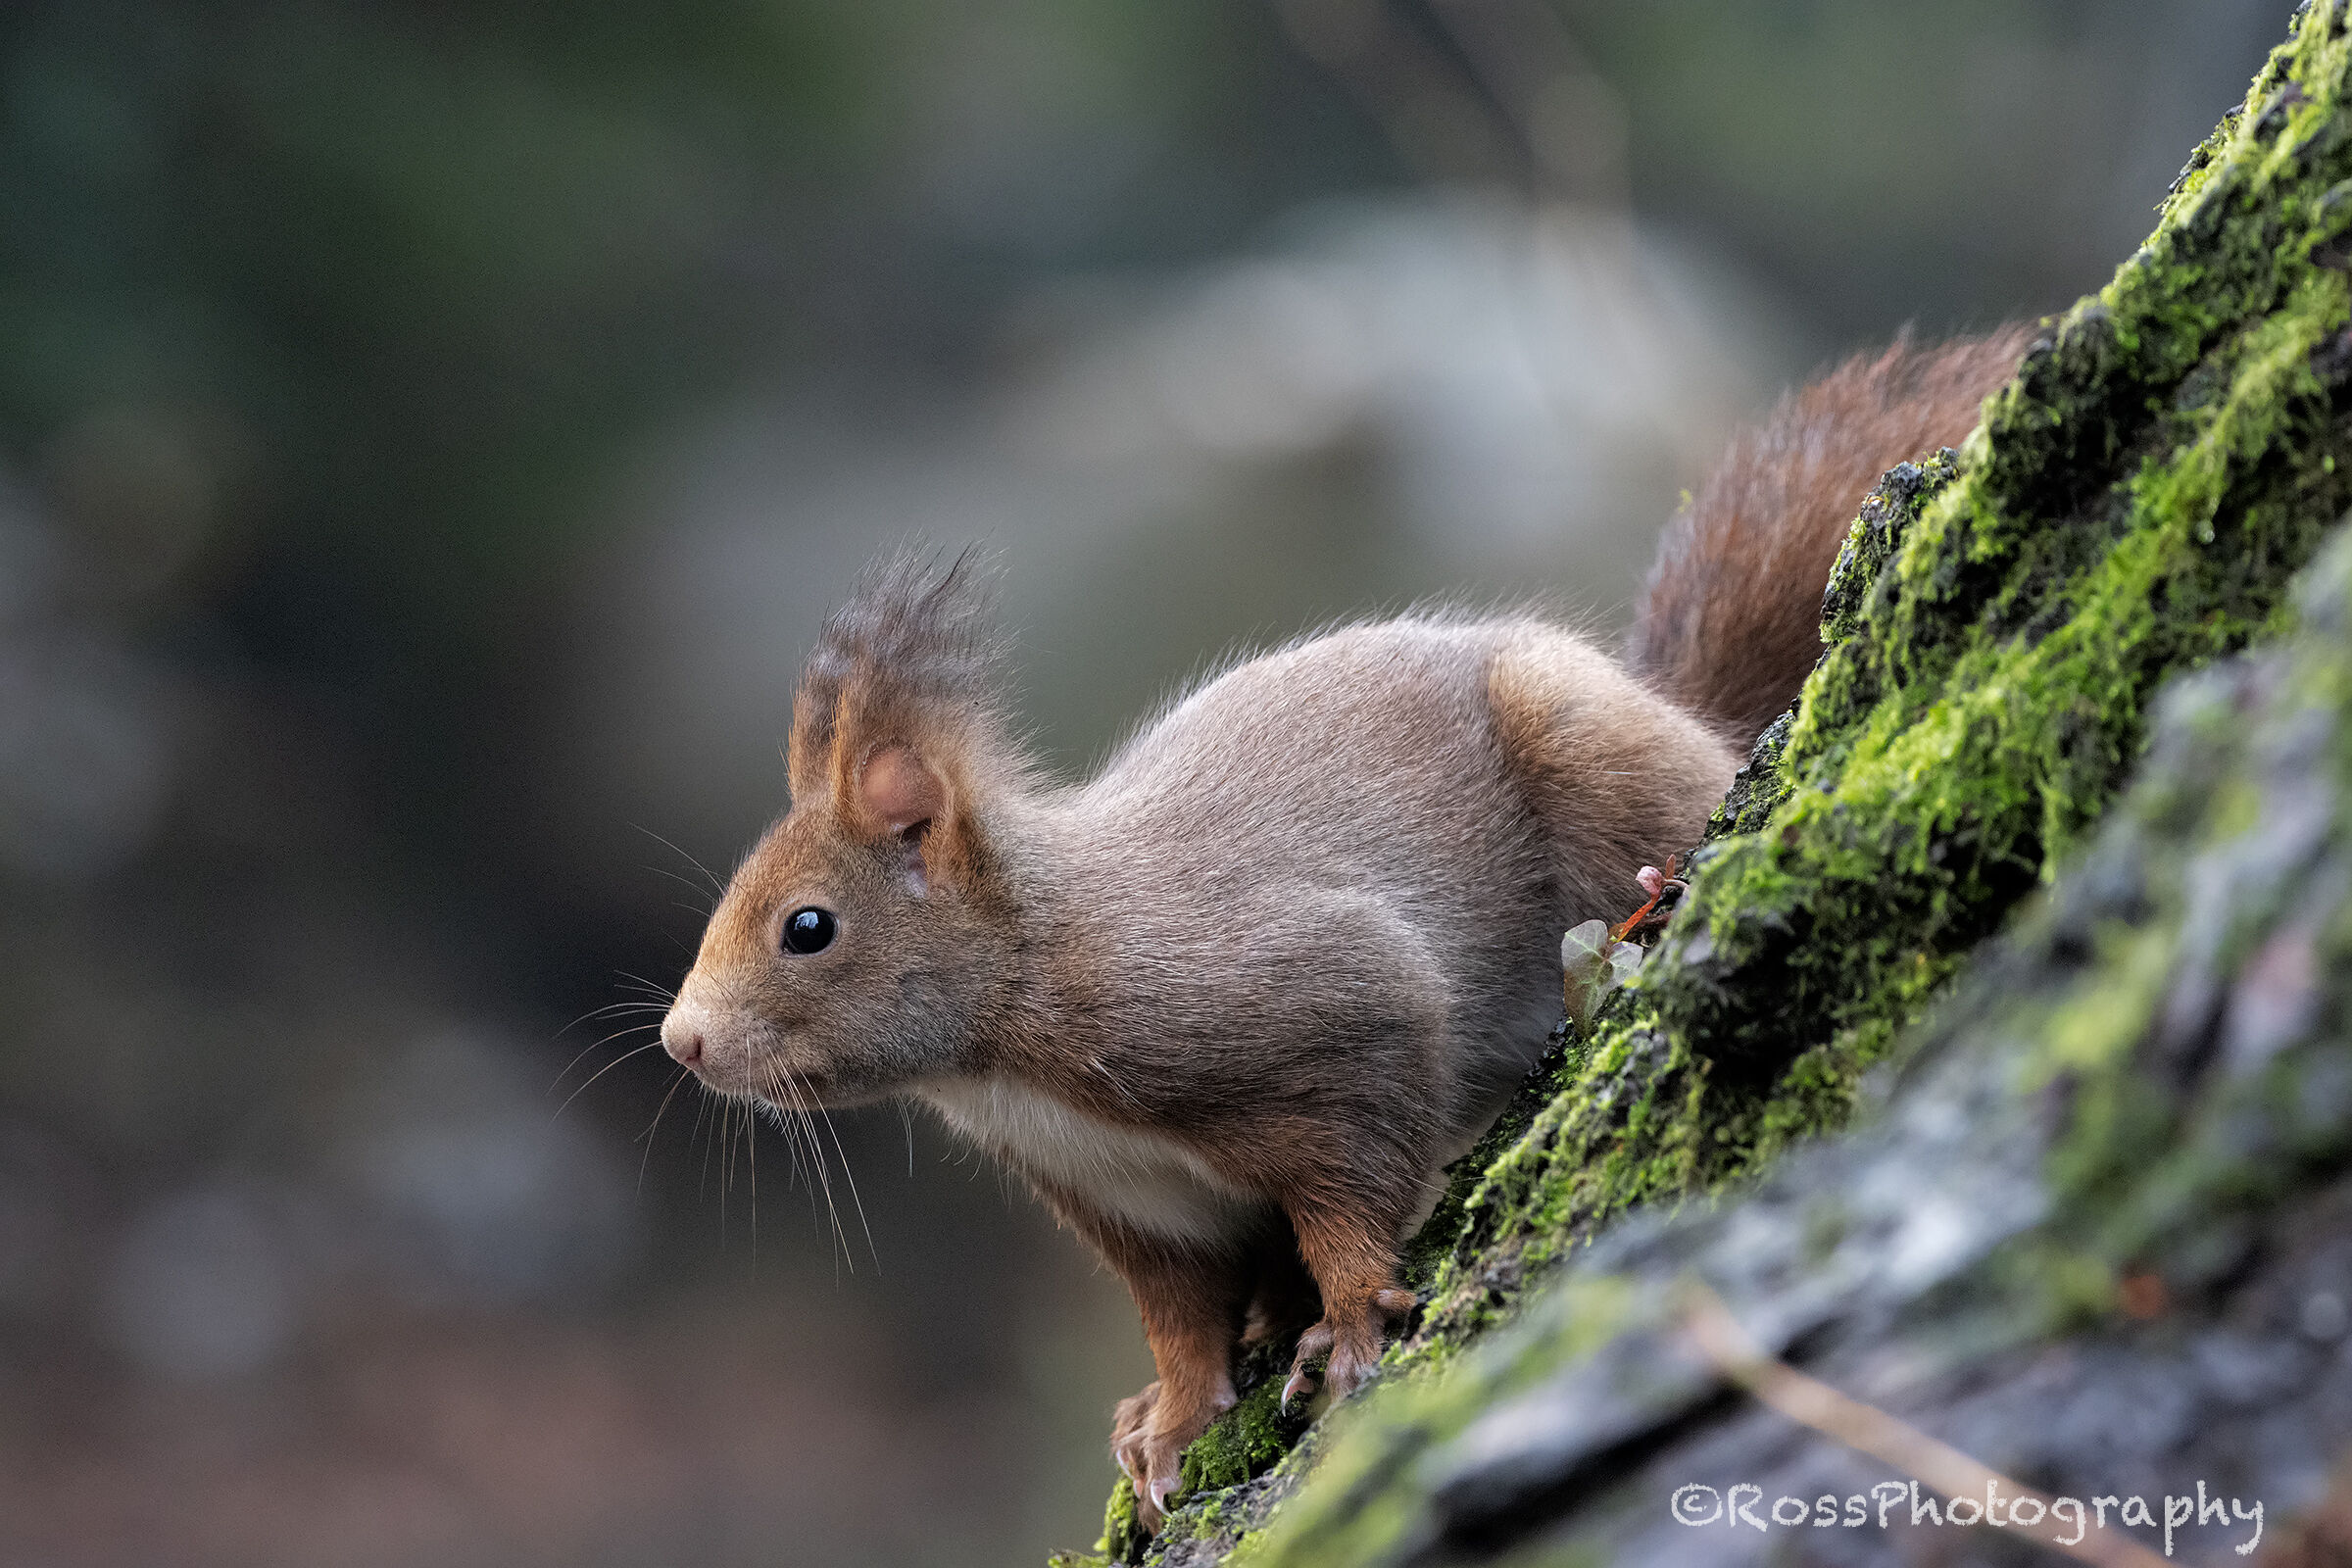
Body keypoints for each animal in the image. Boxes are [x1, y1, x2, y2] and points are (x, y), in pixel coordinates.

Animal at [656, 325, 2031, 1530]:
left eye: (809, 927)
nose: (682, 1042)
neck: (1016, 1030)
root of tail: (1685, 715)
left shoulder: (1313, 1009)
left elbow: (1355, 1177)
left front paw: (1359, 1317)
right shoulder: (1133, 1205)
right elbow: (1182, 1320)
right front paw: (1170, 1421)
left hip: (1585, 752)